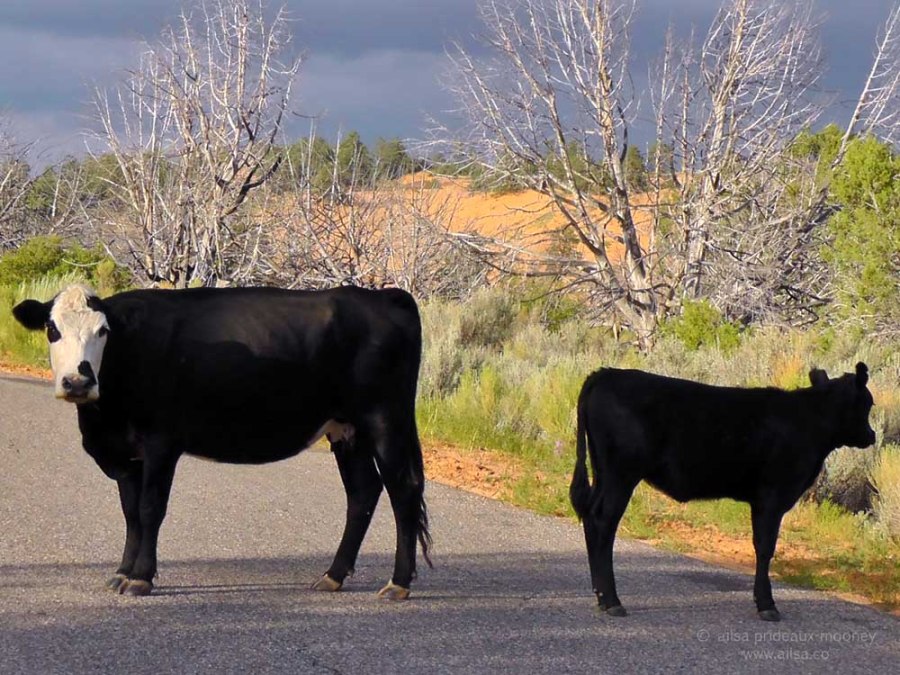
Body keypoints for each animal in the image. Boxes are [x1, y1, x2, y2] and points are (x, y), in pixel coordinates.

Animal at [13, 284, 431, 600]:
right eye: (52, 329)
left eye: (103, 332)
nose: (78, 382)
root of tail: (384, 296)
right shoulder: (127, 454)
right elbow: (130, 513)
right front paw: (122, 571)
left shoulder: (161, 443)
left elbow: (150, 509)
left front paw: (142, 577)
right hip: (347, 429)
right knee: (362, 493)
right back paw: (333, 574)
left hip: (384, 419)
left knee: (403, 488)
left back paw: (398, 583)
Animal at [569, 365, 876, 622]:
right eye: (868, 403)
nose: (871, 435)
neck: (809, 422)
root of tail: (605, 373)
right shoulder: (772, 496)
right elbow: (765, 547)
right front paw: (767, 605)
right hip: (621, 475)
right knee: (604, 522)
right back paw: (612, 600)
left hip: (604, 473)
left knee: (591, 516)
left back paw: (601, 596)